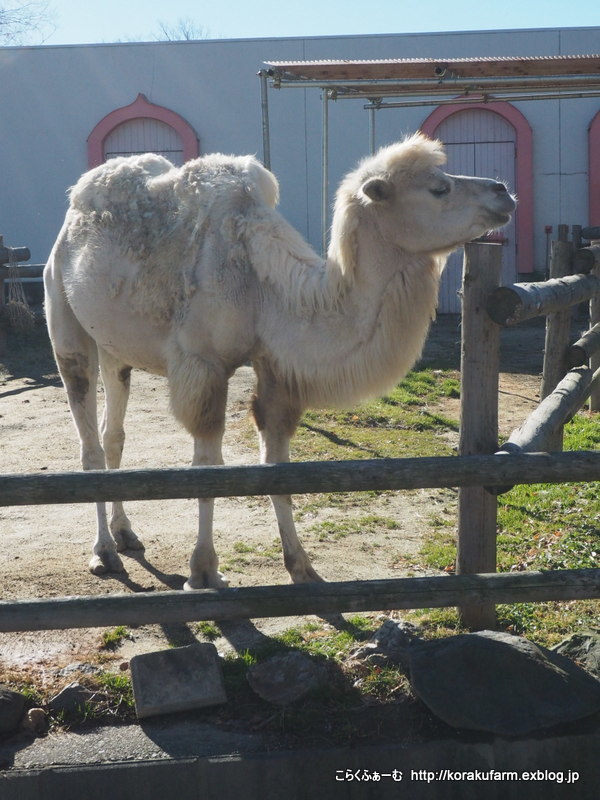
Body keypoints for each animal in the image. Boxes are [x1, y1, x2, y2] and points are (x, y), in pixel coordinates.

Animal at [45, 134, 516, 592]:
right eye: (439, 188)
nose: (503, 191)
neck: (268, 291)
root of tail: (69, 216)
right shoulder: (203, 368)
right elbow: (207, 471)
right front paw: (204, 572)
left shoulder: (275, 371)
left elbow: (279, 470)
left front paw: (302, 568)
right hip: (65, 322)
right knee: (88, 442)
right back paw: (104, 552)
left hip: (114, 347)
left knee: (113, 434)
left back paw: (126, 534)